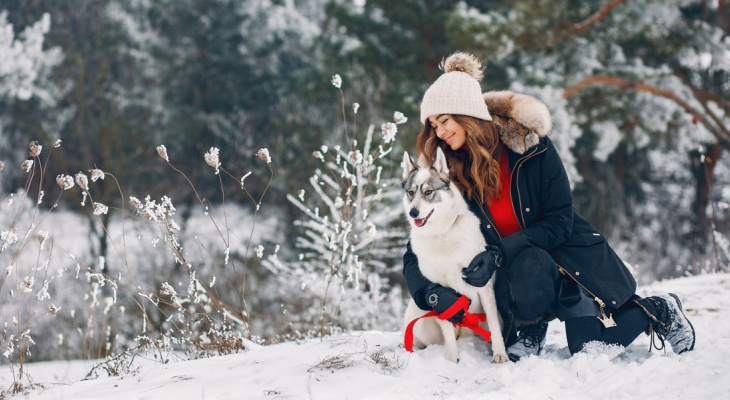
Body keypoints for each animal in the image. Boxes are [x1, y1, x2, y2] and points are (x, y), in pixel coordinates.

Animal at [398, 148, 506, 366]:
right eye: (411, 193)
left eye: (428, 192)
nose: (413, 213)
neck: (442, 233)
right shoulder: (442, 296)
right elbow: (447, 328)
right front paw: (451, 360)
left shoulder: (484, 287)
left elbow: (495, 329)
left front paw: (500, 354)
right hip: (421, 316)